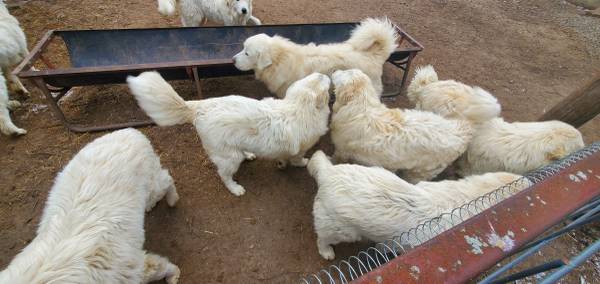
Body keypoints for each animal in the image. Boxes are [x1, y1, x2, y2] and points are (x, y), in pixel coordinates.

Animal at [0, 129, 180, 284]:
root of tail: (130, 131)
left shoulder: (133, 268)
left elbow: (163, 267)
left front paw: (174, 275)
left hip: (153, 186)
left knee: (167, 179)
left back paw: (172, 200)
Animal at [128, 70, 330, 197]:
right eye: (323, 82)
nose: (326, 74)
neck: (298, 107)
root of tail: (200, 107)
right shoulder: (300, 150)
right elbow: (297, 159)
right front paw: (302, 163)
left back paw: (249, 154)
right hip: (230, 158)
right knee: (224, 176)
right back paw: (235, 188)